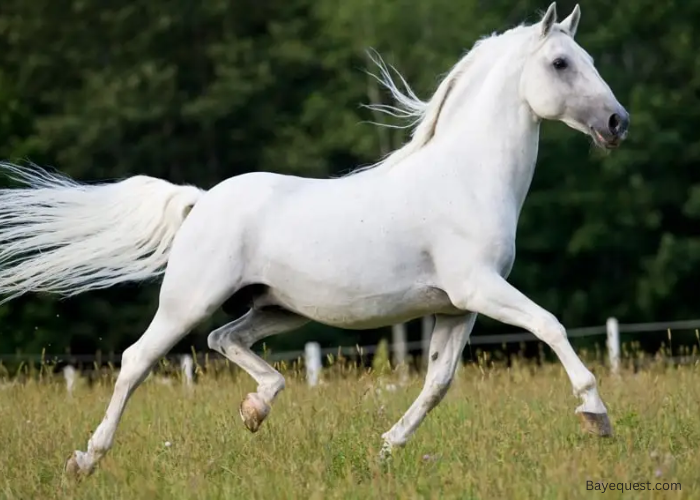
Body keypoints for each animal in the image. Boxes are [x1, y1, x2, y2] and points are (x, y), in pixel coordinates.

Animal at [0, 3, 628, 476]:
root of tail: (201, 200)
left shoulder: (457, 307)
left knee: (226, 340)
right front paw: (596, 415)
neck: (465, 179)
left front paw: (386, 448)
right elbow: (550, 325)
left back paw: (256, 408)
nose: (618, 123)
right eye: (560, 62)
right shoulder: (480, 288)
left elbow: (438, 383)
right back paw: (86, 459)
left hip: (278, 309)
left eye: (589, 60)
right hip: (189, 302)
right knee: (137, 361)